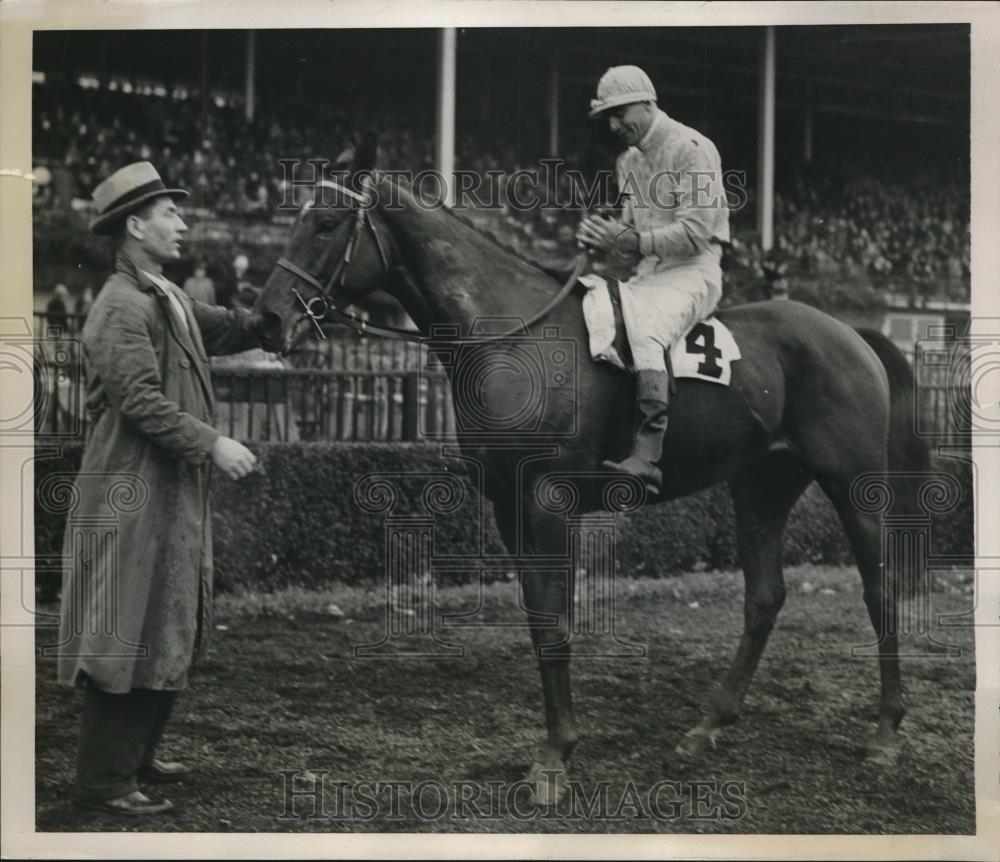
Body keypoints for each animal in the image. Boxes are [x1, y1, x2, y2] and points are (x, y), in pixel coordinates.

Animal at [254, 147, 924, 804]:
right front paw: (556, 746)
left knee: (879, 589)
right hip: (761, 487)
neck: (512, 337)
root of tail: (850, 331)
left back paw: (886, 733)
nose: (265, 320)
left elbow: (555, 625)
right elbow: (538, 621)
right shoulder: (509, 507)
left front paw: (555, 759)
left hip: (852, 486)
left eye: (326, 223)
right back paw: (707, 726)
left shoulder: (548, 502)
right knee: (764, 597)